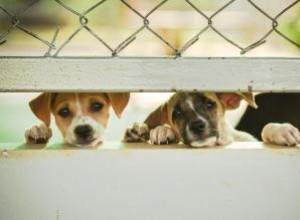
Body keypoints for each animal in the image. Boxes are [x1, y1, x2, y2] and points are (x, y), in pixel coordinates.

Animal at [123, 92, 300, 147]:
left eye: (209, 104)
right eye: (177, 113)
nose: (197, 126)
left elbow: (265, 129)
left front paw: (282, 130)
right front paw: (162, 130)